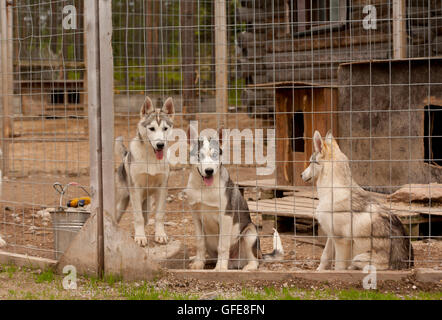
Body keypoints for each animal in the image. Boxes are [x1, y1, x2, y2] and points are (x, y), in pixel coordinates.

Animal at [115, 96, 174, 246]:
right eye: (151, 128)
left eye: (165, 128)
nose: (160, 145)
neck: (151, 158)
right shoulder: (135, 189)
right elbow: (138, 218)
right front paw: (140, 237)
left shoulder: (162, 188)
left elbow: (159, 215)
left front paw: (160, 235)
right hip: (121, 204)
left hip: (146, 203)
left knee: (146, 217)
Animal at [186, 127, 284, 270]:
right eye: (199, 155)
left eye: (215, 155)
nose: (209, 171)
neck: (204, 187)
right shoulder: (196, 216)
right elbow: (199, 242)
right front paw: (198, 263)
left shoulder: (225, 217)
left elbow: (222, 245)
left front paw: (220, 268)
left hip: (250, 233)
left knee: (255, 260)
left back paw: (248, 267)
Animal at [302, 130, 412, 270]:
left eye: (310, 162)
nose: (301, 174)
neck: (332, 191)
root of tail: (406, 265)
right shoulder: (331, 236)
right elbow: (325, 257)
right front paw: (319, 271)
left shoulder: (341, 241)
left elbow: (338, 267)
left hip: (358, 258)